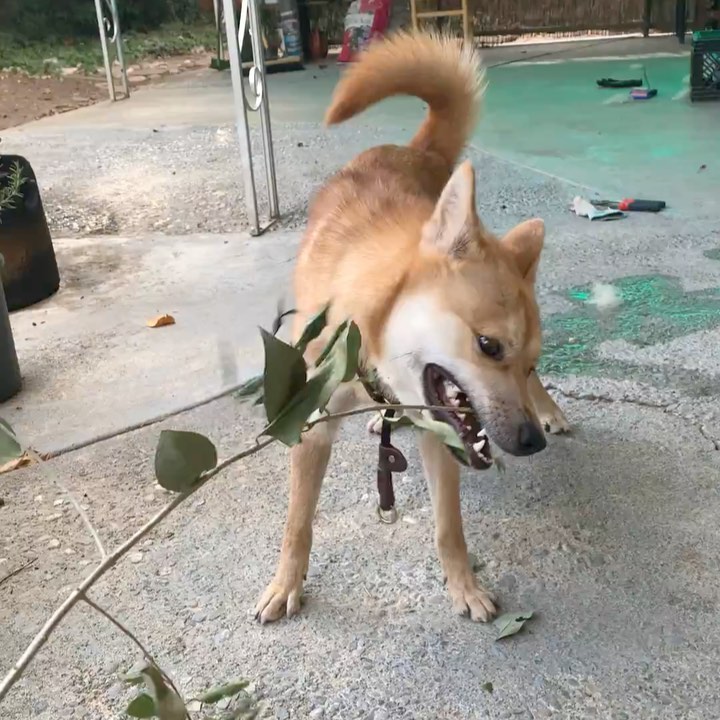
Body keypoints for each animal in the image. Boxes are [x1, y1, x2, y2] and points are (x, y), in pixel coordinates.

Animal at [253, 31, 568, 620]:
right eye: (488, 345)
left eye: (527, 360)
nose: (531, 442)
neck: (369, 337)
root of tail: (415, 149)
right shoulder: (312, 427)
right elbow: (297, 525)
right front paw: (285, 584)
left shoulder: (440, 432)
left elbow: (449, 528)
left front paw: (463, 586)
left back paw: (550, 409)